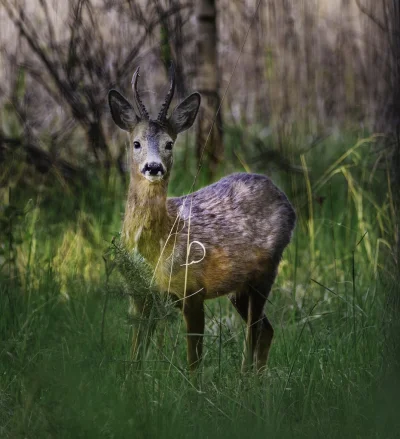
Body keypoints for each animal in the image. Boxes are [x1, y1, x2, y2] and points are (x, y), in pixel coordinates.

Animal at [108, 65, 296, 374]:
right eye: (136, 143)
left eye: (169, 143)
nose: (153, 167)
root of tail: (285, 199)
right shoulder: (139, 296)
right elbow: (134, 359)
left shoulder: (192, 291)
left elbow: (194, 363)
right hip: (238, 289)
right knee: (266, 330)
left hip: (265, 272)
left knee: (254, 333)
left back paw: (246, 379)